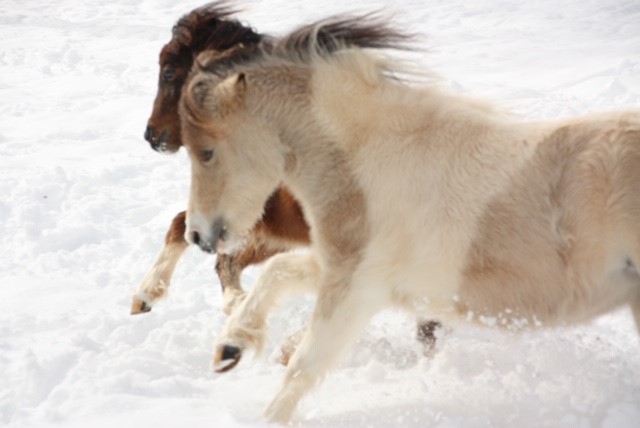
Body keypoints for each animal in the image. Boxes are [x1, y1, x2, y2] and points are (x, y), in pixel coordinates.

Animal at [179, 12, 640, 422]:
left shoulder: (356, 288)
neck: (367, 162)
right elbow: (278, 273)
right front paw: (230, 349)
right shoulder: (345, 269)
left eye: (206, 152)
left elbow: (304, 365)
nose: (198, 234)